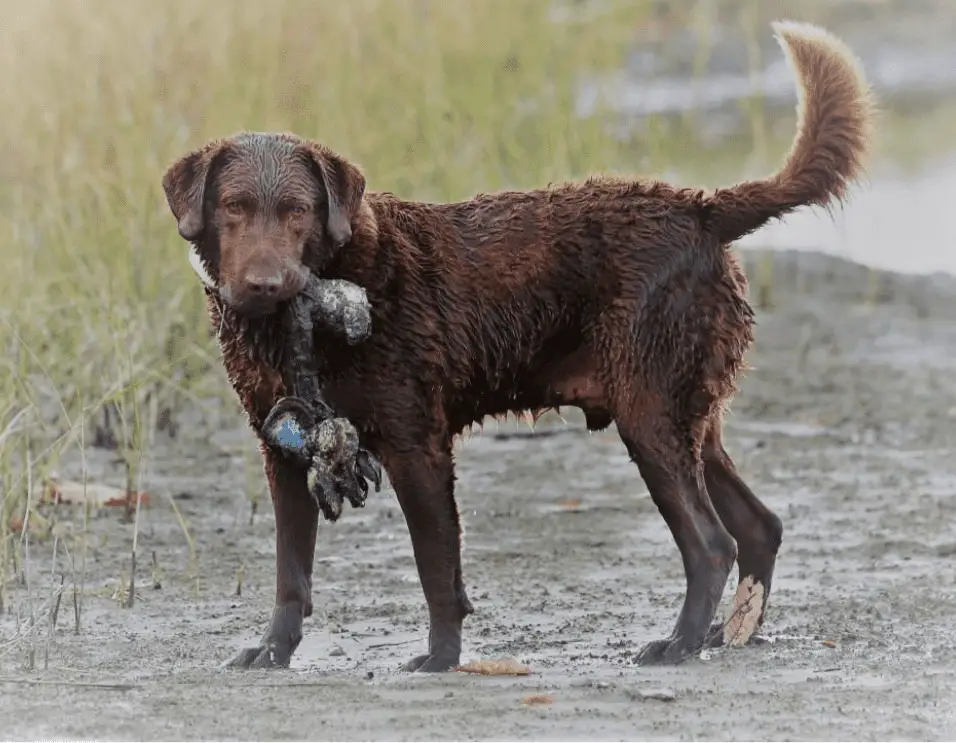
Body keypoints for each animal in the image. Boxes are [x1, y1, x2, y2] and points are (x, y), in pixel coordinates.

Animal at [162, 21, 872, 676]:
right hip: (689, 420)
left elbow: (436, 569)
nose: (265, 284)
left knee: (711, 544)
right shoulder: (282, 452)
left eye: (299, 212)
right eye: (232, 208)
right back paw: (729, 633)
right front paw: (273, 652)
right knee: (759, 526)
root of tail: (700, 208)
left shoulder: (417, 445)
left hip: (650, 419)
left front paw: (441, 659)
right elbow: (291, 575)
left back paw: (680, 644)